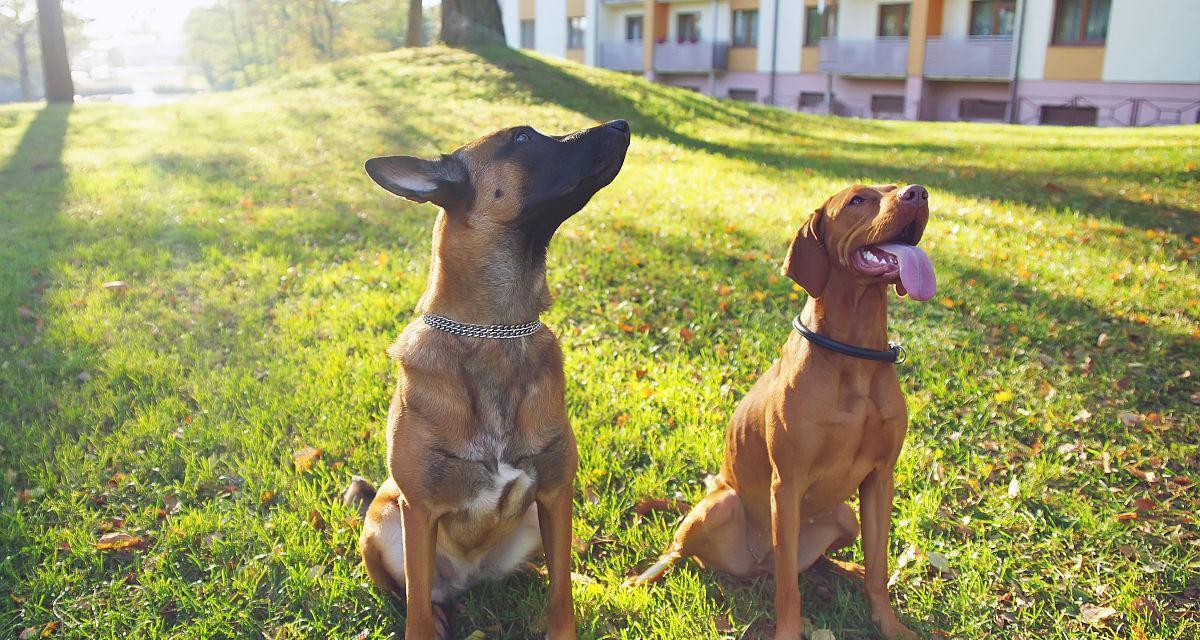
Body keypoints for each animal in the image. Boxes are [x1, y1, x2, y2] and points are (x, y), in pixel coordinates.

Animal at [345, 118, 633, 633]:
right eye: (522, 138)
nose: (622, 124)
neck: (497, 333)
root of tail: (471, 577)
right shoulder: (419, 513)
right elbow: (416, 611)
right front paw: (426, 623)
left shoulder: (555, 496)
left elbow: (560, 597)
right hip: (383, 527)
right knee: (412, 593)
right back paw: (441, 612)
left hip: (533, 523)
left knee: (547, 572)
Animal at [628, 182, 936, 633]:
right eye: (858, 200)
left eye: (897, 187)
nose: (918, 193)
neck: (855, 355)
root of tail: (756, 568)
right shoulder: (787, 486)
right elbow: (789, 588)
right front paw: (789, 631)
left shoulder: (881, 479)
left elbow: (879, 570)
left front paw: (890, 626)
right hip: (718, 507)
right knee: (685, 550)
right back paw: (645, 576)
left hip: (845, 517)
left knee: (818, 561)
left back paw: (844, 570)